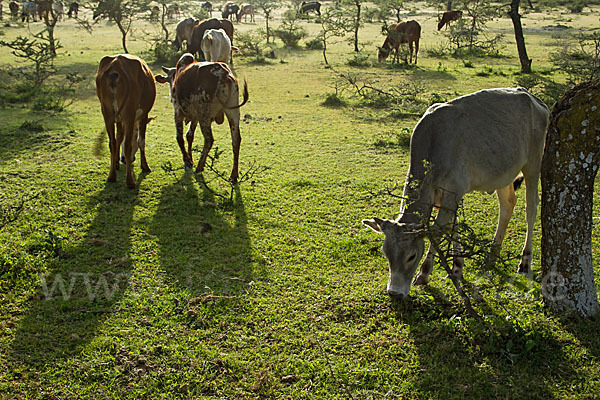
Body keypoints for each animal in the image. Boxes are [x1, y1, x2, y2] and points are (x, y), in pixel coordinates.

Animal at [96, 53, 157, 189]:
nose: (123, 159)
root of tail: (115, 64)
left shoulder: (119, 120)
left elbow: (119, 137)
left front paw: (116, 163)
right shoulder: (143, 115)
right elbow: (141, 141)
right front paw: (145, 166)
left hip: (107, 114)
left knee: (112, 142)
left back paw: (111, 176)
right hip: (128, 114)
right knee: (128, 146)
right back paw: (130, 181)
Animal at [156, 53, 250, 183]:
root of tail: (224, 74)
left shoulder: (178, 113)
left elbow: (180, 138)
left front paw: (187, 160)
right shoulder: (194, 118)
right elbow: (189, 135)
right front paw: (190, 158)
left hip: (204, 115)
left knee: (209, 139)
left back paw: (200, 166)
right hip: (233, 112)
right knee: (236, 140)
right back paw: (233, 175)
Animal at [364, 87, 552, 300]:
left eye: (411, 256)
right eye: (385, 252)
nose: (394, 292)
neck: (434, 141)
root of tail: (534, 99)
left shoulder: (453, 192)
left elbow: (438, 231)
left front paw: (424, 273)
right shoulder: (445, 196)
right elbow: (452, 227)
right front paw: (457, 267)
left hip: (533, 164)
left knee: (531, 208)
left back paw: (525, 262)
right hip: (503, 174)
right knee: (507, 206)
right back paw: (492, 254)